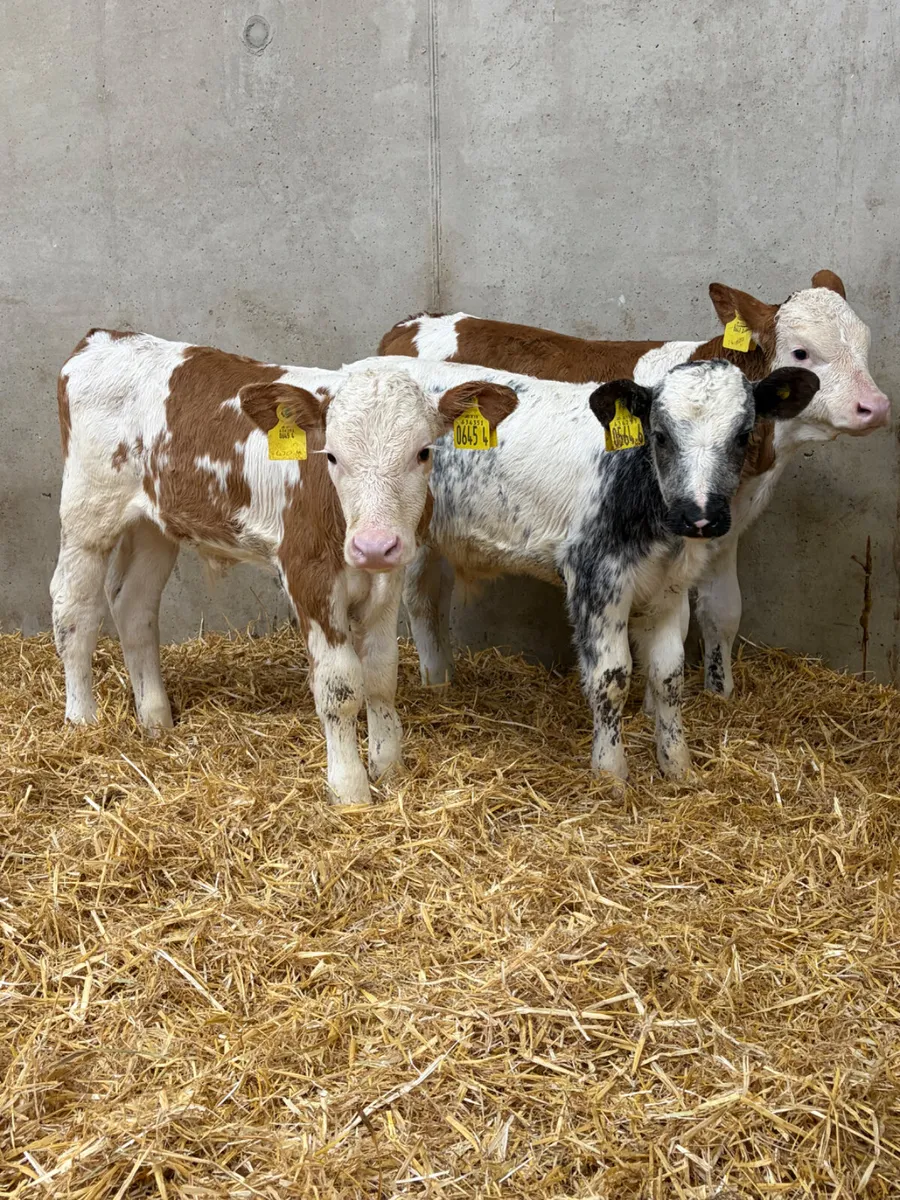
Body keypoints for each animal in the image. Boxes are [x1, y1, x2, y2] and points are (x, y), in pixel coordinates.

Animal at [51, 330, 517, 804]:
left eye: (423, 453)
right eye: (331, 456)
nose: (373, 545)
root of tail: (106, 337)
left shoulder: (388, 576)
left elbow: (381, 675)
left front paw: (389, 769)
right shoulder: (307, 571)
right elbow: (340, 687)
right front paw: (350, 791)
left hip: (155, 523)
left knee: (134, 605)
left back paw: (156, 720)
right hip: (87, 511)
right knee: (74, 609)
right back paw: (82, 720)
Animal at [343, 354, 818, 780]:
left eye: (743, 435)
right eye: (660, 435)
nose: (699, 516)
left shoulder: (669, 589)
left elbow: (668, 678)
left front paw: (678, 767)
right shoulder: (595, 579)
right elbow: (612, 677)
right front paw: (610, 773)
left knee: (426, 601)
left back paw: (440, 683)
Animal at [378, 272, 889, 698]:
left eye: (865, 343)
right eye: (802, 352)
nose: (876, 406)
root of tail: (410, 323)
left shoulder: (723, 533)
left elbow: (723, 612)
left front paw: (720, 697)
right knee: (421, 597)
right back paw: (438, 685)